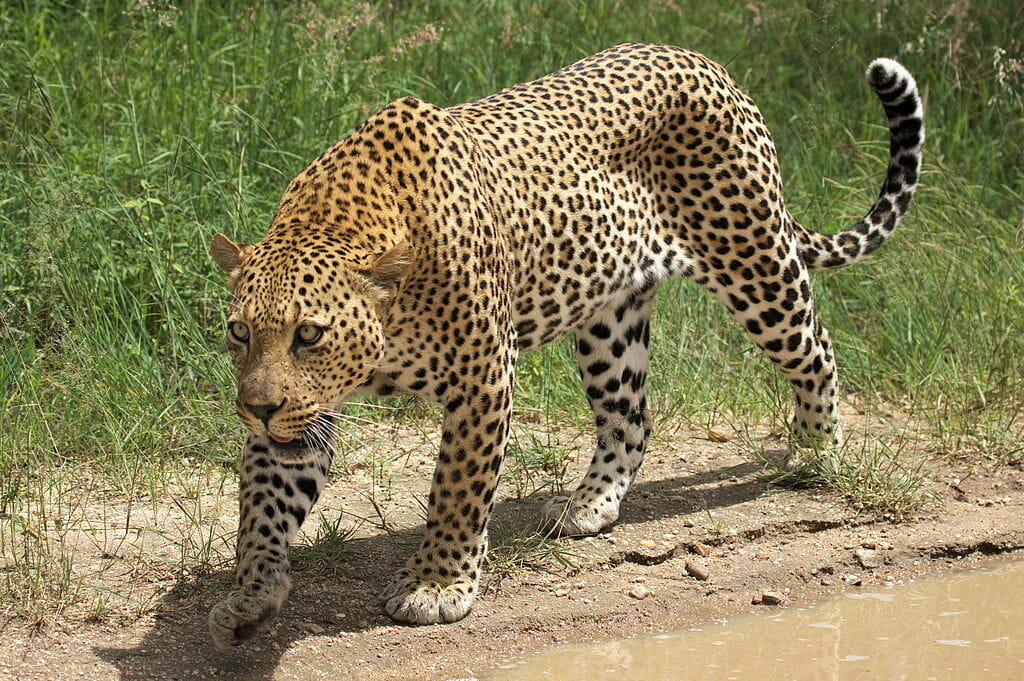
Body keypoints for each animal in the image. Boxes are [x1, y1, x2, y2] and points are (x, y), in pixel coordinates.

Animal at [207, 43, 923, 648]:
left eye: (309, 333)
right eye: (240, 331)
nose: (257, 410)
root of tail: (706, 61)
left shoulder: (481, 378)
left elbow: (458, 487)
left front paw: (438, 584)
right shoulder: (305, 412)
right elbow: (263, 502)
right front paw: (251, 592)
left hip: (756, 265)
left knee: (817, 349)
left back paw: (817, 450)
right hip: (610, 321)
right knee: (631, 416)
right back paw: (589, 504)